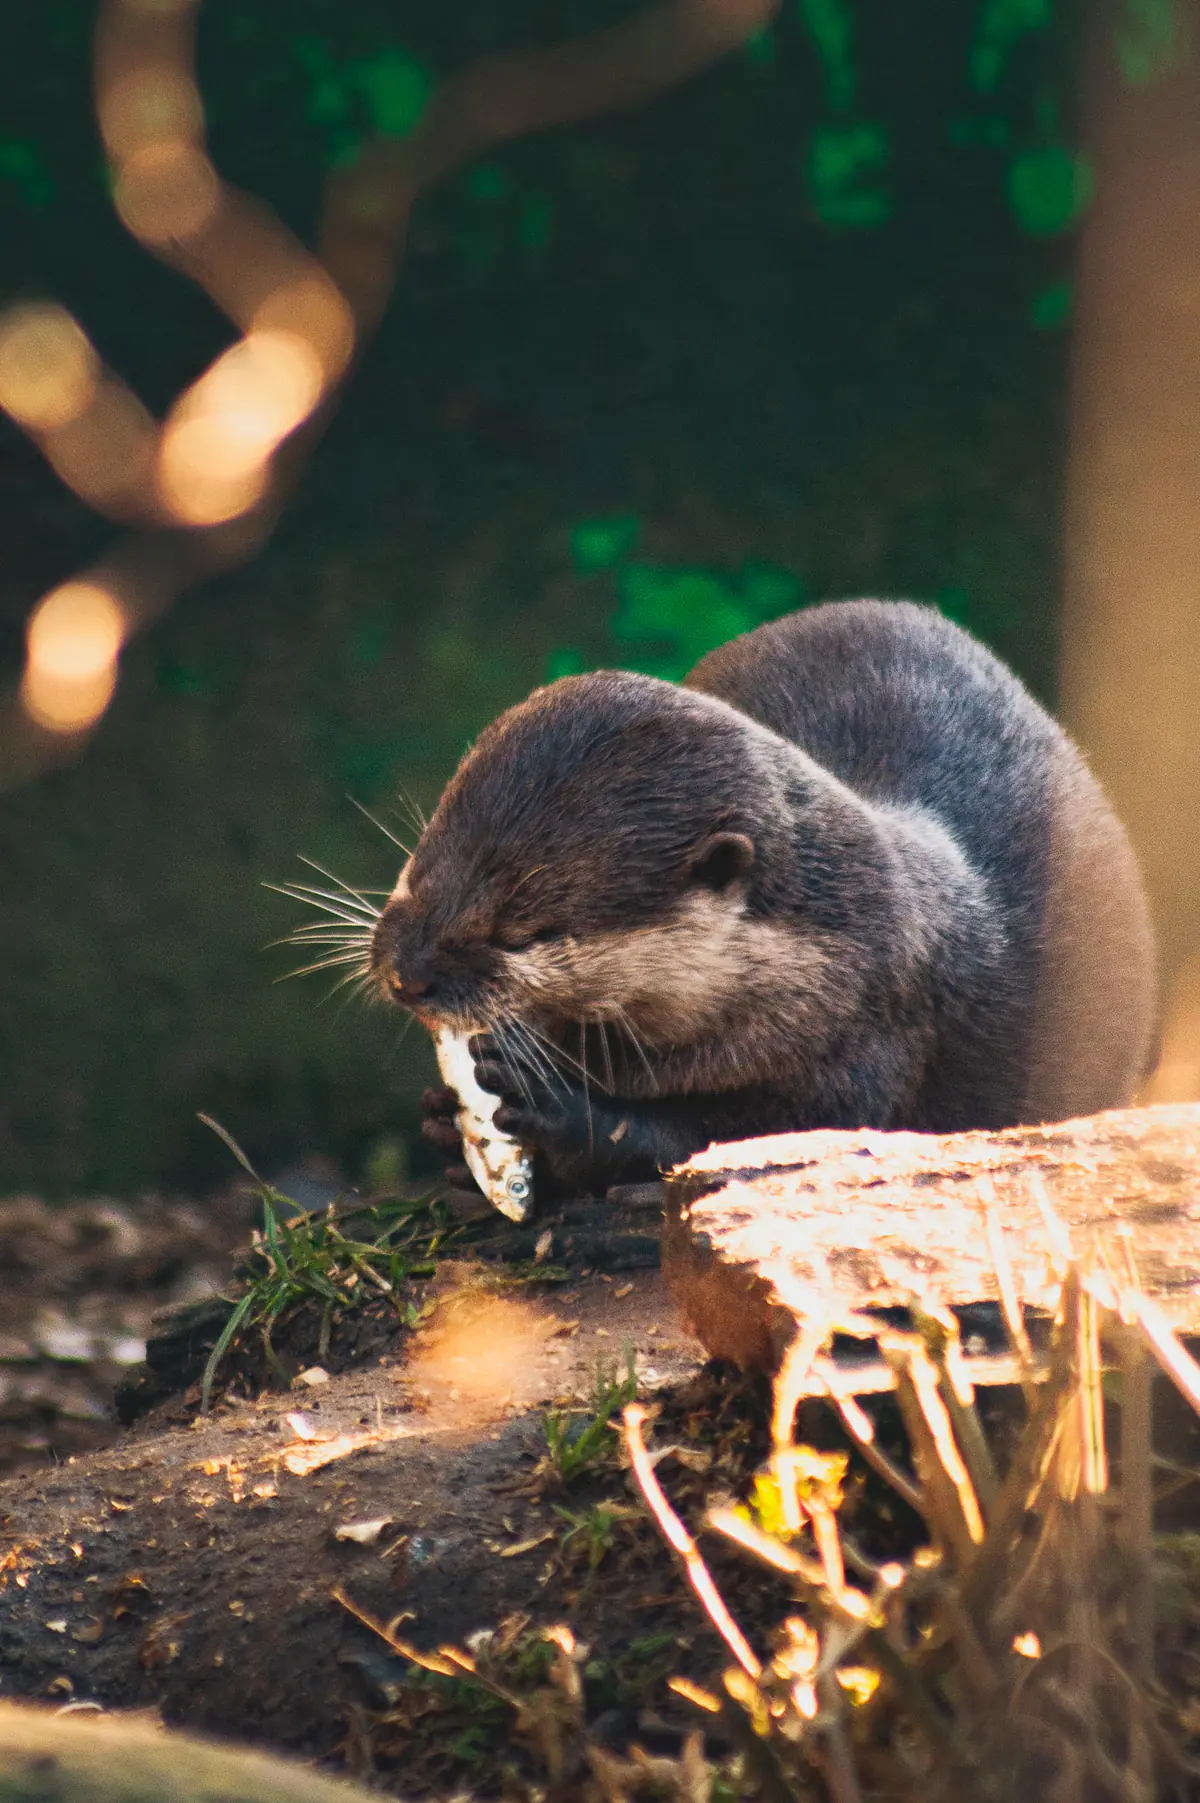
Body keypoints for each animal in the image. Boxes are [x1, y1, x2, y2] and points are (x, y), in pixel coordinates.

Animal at [368, 601, 1156, 1194]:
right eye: (421, 864)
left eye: (525, 930)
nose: (409, 974)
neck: (823, 963)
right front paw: (444, 1123)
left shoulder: (877, 1033)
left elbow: (741, 1135)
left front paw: (570, 1121)